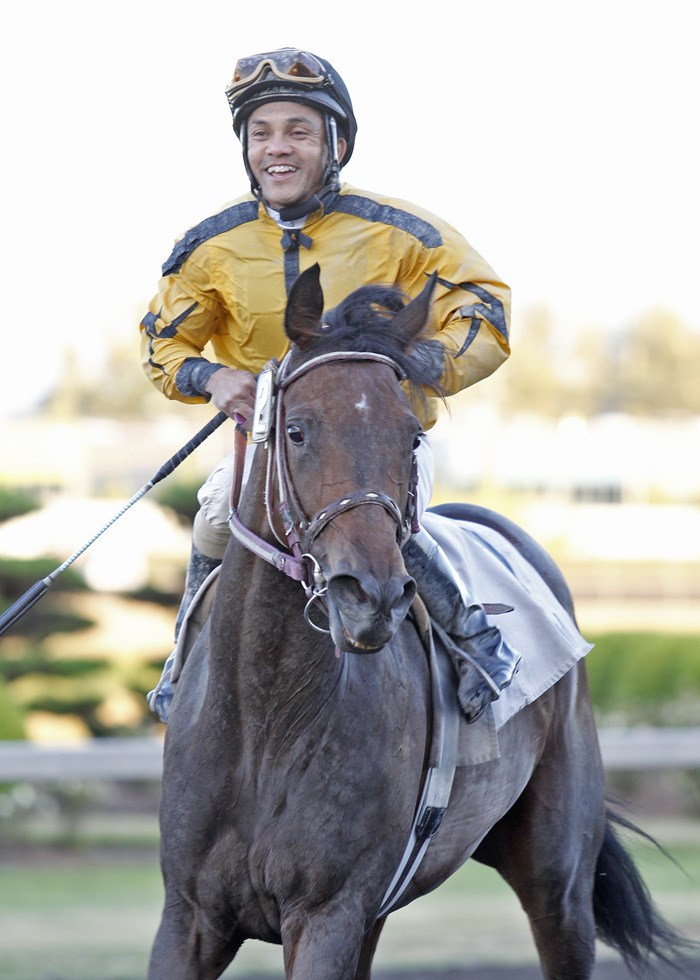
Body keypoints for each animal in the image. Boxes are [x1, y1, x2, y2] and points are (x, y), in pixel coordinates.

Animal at [149, 264, 696, 976]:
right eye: (296, 429)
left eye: (410, 434)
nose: (370, 596)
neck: (264, 716)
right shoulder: (190, 915)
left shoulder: (327, 913)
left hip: (560, 879)